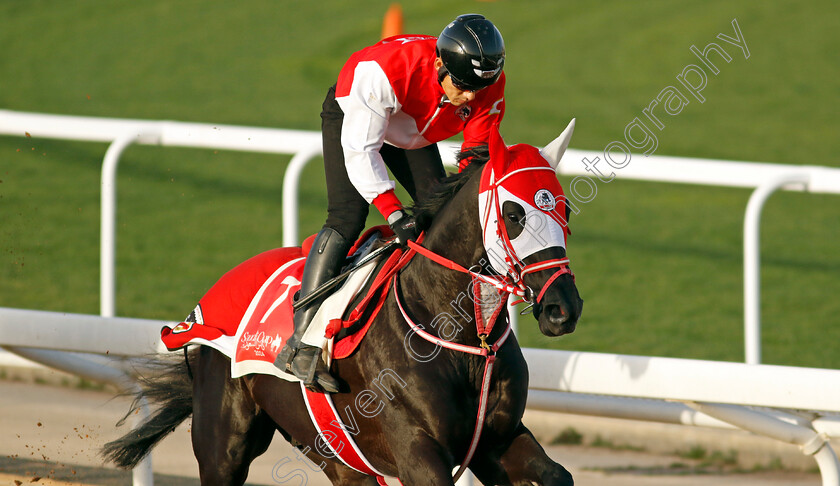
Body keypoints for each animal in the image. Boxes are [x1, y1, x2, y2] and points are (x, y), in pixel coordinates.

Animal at [103, 123, 584, 484]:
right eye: (514, 214)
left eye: (565, 209)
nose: (564, 308)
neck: (460, 335)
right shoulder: (419, 453)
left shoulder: (498, 440)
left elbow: (558, 475)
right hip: (224, 444)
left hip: (335, 454)